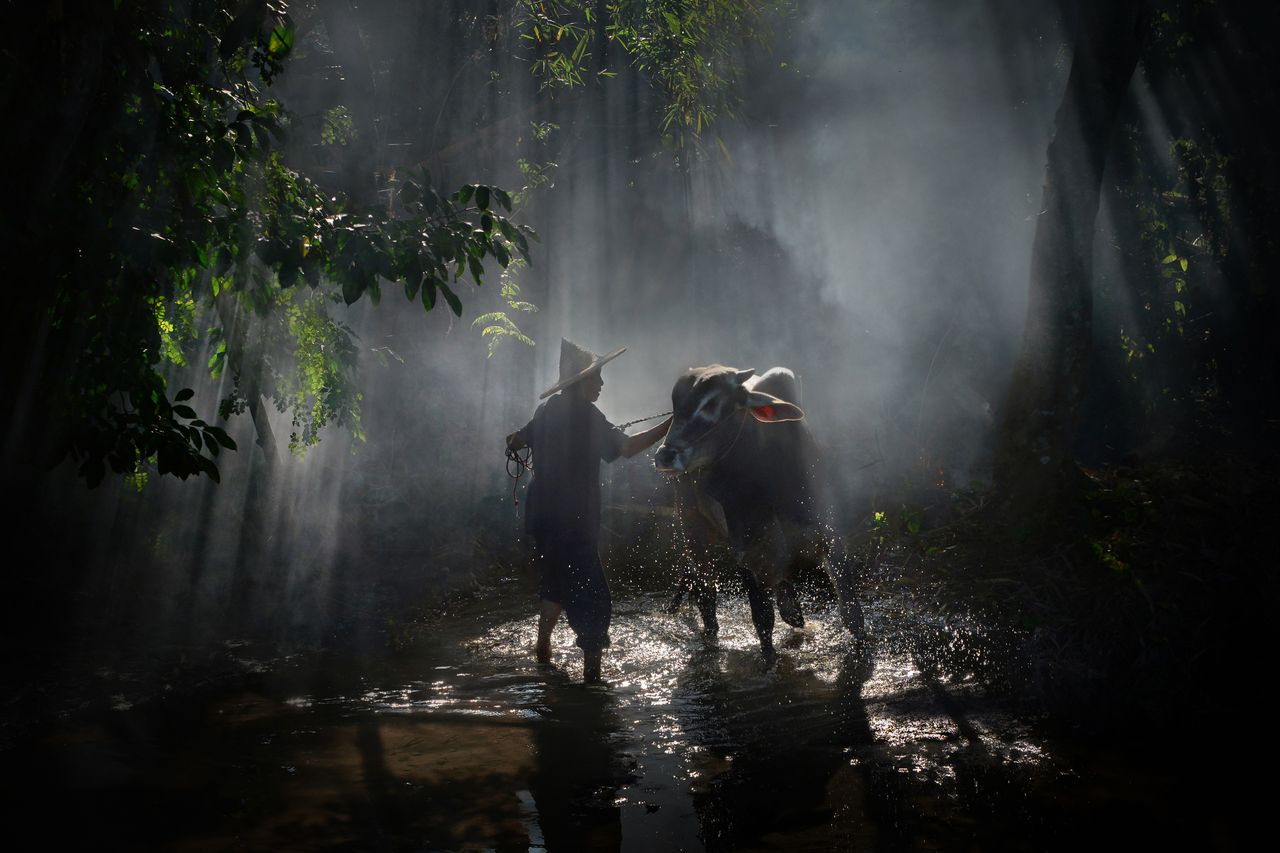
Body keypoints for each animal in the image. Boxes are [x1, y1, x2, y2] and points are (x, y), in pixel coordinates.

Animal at [655, 363, 865, 655]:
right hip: (693, 527)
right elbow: (763, 625)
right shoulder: (749, 558)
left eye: (712, 404)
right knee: (706, 595)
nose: (663, 455)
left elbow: (853, 616)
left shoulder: (830, 539)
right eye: (675, 406)